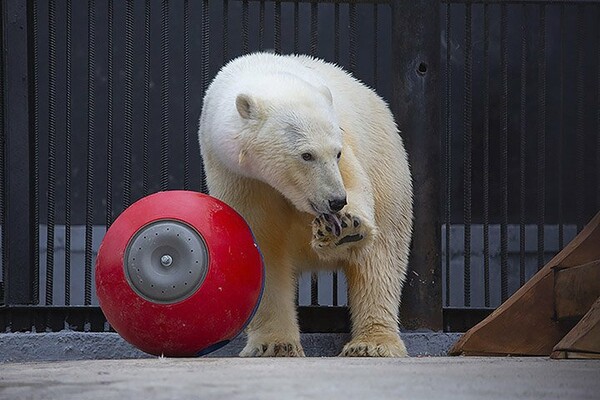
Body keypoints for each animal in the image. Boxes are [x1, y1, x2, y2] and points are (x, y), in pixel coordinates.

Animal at [197, 52, 412, 356]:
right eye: (306, 155)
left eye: (336, 152)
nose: (336, 201)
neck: (265, 72)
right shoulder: (237, 176)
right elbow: (263, 248)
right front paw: (274, 345)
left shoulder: (345, 137)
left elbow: (355, 181)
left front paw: (345, 228)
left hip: (387, 169)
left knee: (381, 261)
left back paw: (372, 344)